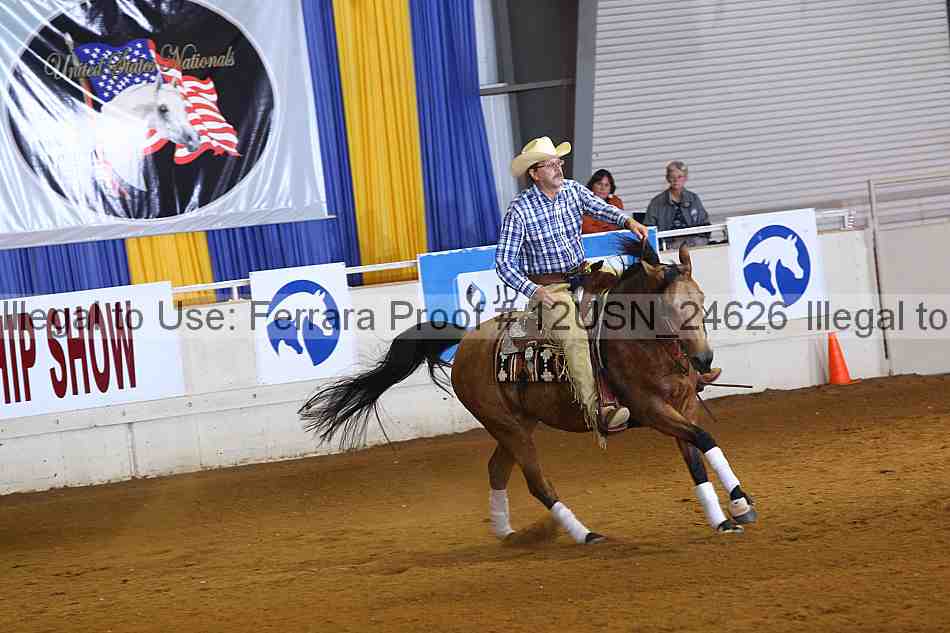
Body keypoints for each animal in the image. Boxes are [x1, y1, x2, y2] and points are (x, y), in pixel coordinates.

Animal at [299, 239, 757, 544]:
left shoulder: (682, 407)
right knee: (537, 482)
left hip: (517, 425)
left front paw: (725, 516)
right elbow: (704, 439)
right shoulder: (653, 410)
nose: (703, 360)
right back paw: (584, 534)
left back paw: (507, 532)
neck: (639, 341)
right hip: (509, 427)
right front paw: (740, 501)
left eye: (700, 299)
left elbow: (697, 456)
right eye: (672, 306)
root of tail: (467, 341)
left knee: (496, 470)